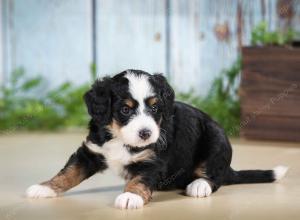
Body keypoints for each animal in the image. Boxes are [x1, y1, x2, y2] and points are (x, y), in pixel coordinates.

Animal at [25, 69, 288, 209]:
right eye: (125, 109)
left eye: (155, 108)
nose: (146, 133)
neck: (121, 139)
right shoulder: (91, 151)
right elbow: (69, 172)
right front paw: (45, 187)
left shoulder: (153, 160)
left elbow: (140, 179)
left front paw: (130, 196)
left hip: (216, 140)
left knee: (215, 175)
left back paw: (199, 185)